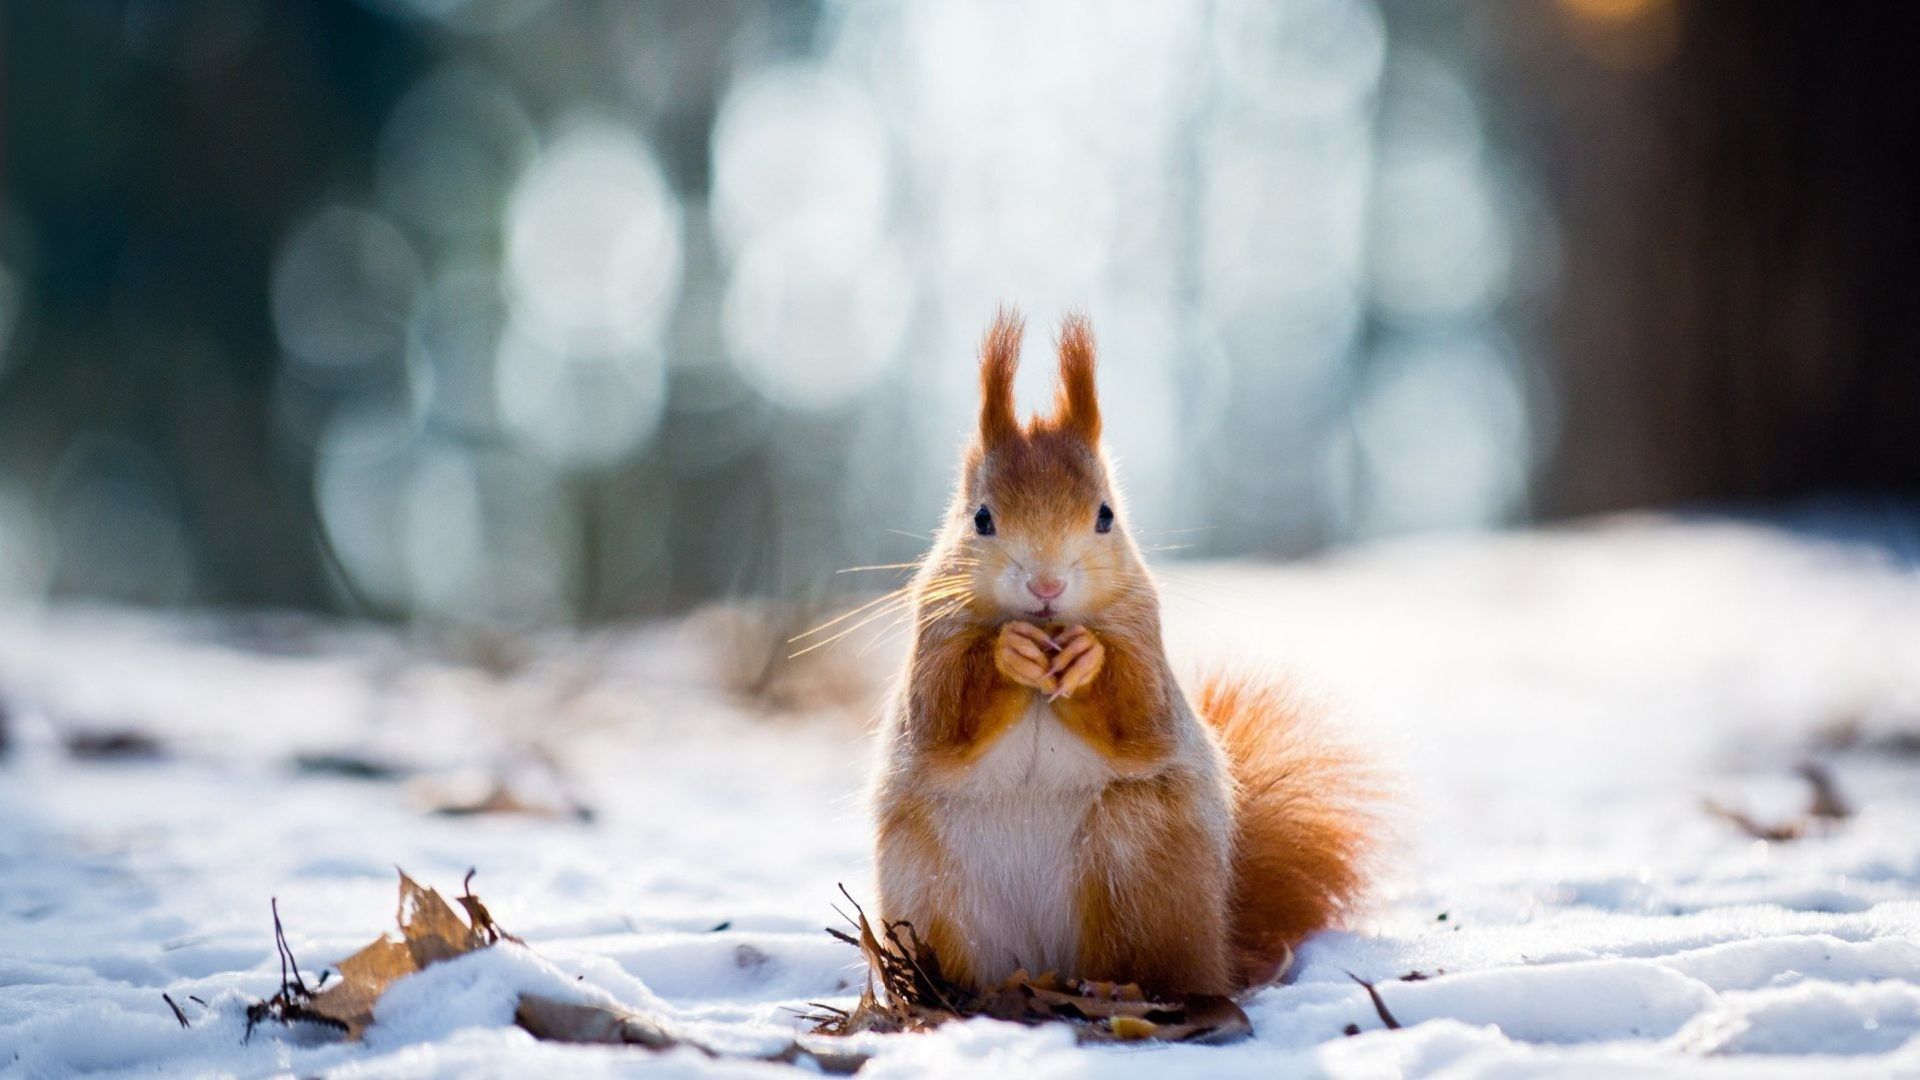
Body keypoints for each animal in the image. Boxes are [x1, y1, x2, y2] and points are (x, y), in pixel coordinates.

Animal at [871, 305, 1382, 991]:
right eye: (980, 519)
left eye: (1106, 515)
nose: (1047, 587)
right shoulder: (933, 637)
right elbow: (942, 715)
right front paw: (1009, 652)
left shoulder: (1145, 639)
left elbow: (1138, 713)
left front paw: (1089, 659)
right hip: (929, 883)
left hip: (1137, 857)